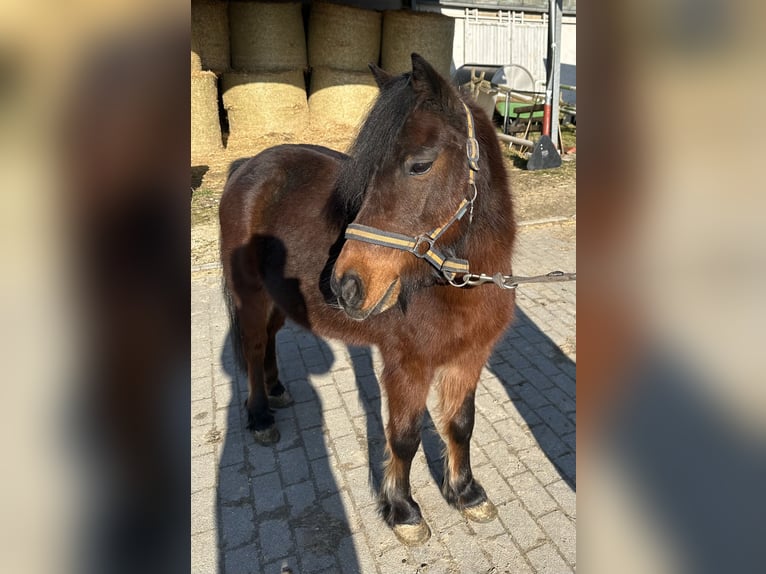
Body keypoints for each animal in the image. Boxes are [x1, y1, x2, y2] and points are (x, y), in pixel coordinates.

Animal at [220, 55, 516, 548]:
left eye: (420, 165)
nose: (346, 286)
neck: (455, 284)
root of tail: (247, 166)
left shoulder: (470, 357)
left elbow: (461, 424)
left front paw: (466, 493)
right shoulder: (406, 364)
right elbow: (404, 437)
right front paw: (403, 510)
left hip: (279, 297)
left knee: (270, 340)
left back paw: (277, 391)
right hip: (251, 296)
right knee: (254, 344)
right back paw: (260, 416)